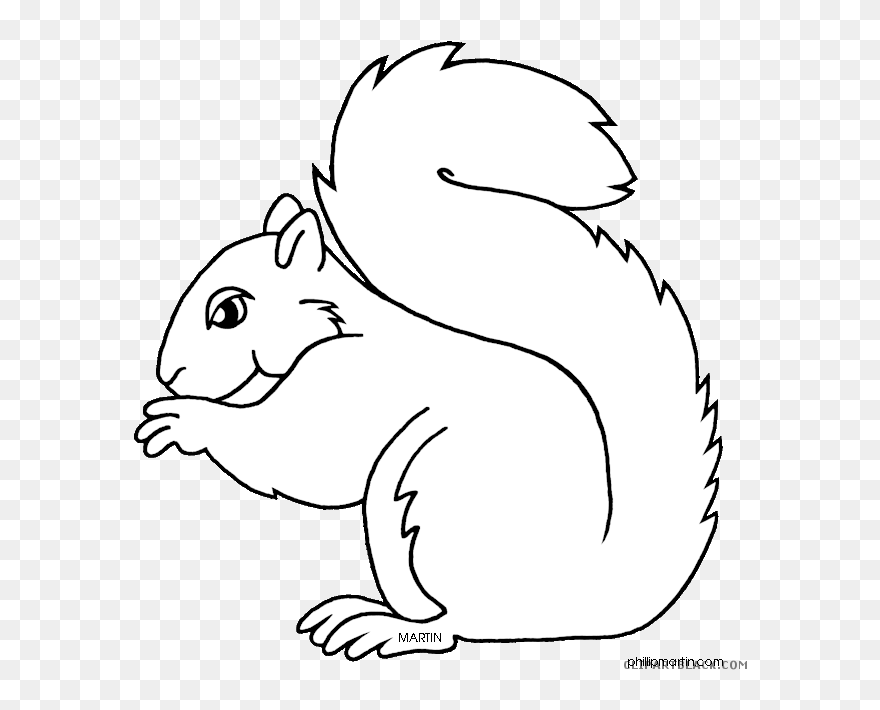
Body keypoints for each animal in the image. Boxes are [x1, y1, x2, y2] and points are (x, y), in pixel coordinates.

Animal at [135, 43, 720, 660]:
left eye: (228, 312)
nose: (169, 374)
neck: (334, 324)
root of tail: (573, 600)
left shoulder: (346, 384)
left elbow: (296, 455)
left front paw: (185, 420)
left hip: (430, 503)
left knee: (452, 626)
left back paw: (377, 625)